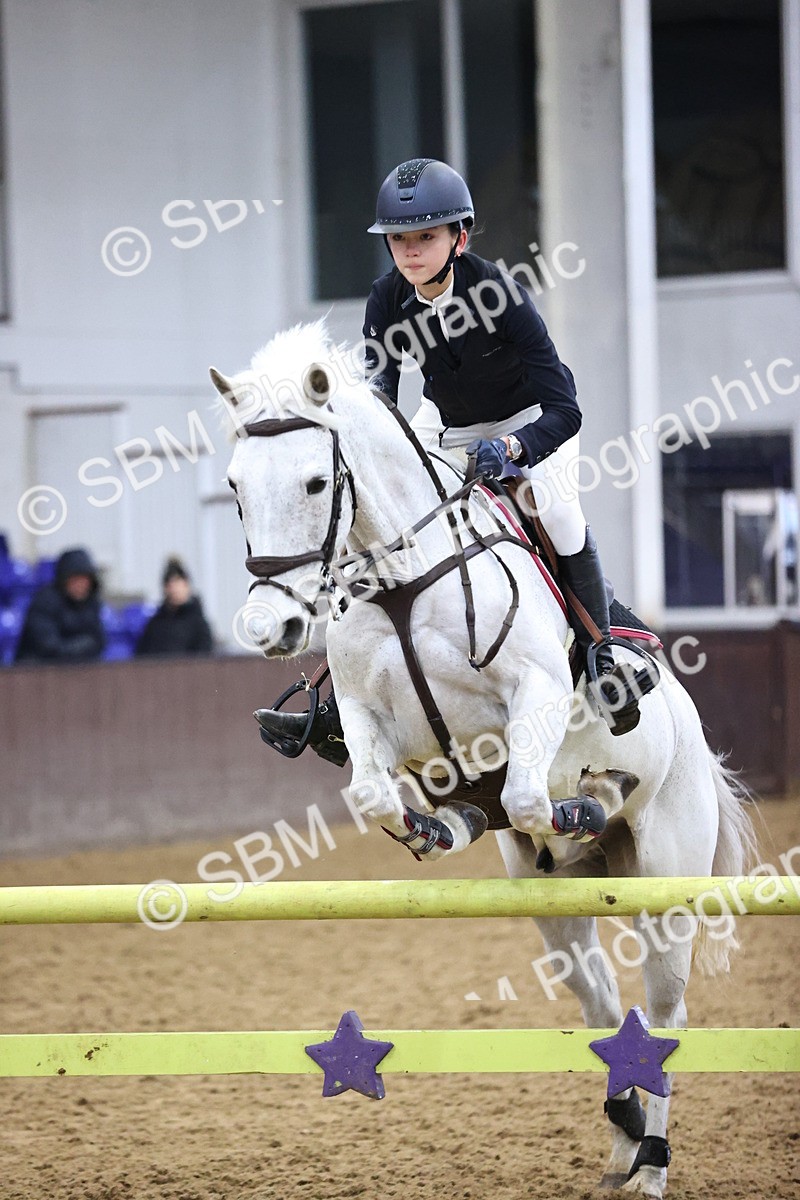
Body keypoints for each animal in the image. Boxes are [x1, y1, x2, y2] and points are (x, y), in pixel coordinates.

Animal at [210, 320, 757, 1199]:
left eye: (314, 483)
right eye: (234, 486)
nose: (271, 628)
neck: (401, 578)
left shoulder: (531, 696)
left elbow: (533, 796)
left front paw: (584, 799)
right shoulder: (368, 717)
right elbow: (376, 794)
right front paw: (442, 823)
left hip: (665, 881)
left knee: (665, 1014)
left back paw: (652, 1164)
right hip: (556, 904)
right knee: (604, 1009)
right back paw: (623, 1142)